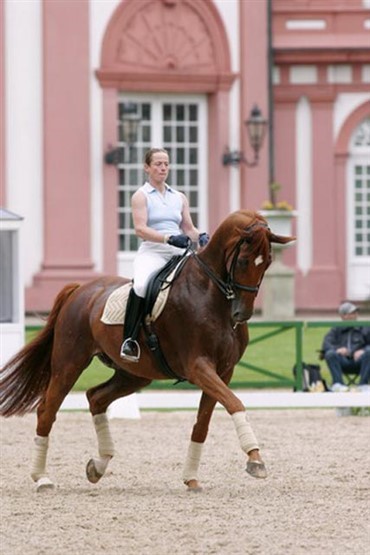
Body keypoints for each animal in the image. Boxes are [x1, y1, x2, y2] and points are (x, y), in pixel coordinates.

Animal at [0, 211, 294, 494]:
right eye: (243, 261)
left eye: (267, 262)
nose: (241, 314)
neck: (211, 295)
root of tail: (80, 290)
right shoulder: (198, 367)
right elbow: (235, 403)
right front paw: (255, 459)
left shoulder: (224, 370)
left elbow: (203, 424)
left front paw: (191, 479)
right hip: (69, 364)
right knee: (47, 411)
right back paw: (42, 478)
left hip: (135, 373)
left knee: (96, 398)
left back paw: (98, 465)